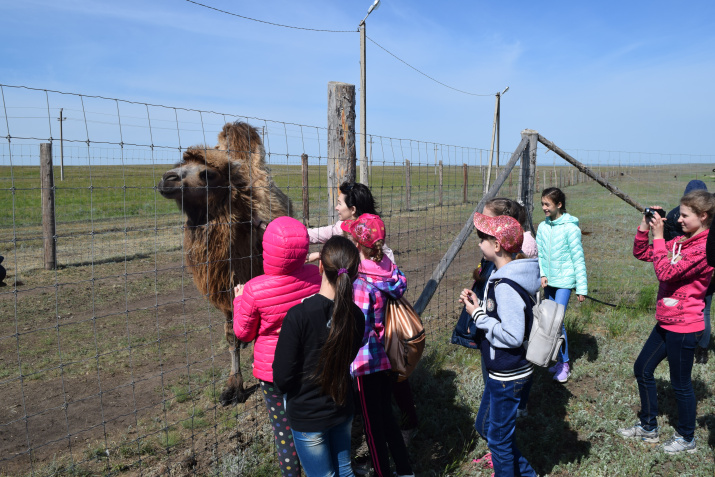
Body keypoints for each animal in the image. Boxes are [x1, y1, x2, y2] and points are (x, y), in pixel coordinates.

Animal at [158, 121, 292, 404]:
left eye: (207, 174)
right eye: (179, 164)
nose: (167, 178)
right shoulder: (228, 289)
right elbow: (231, 336)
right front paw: (234, 387)